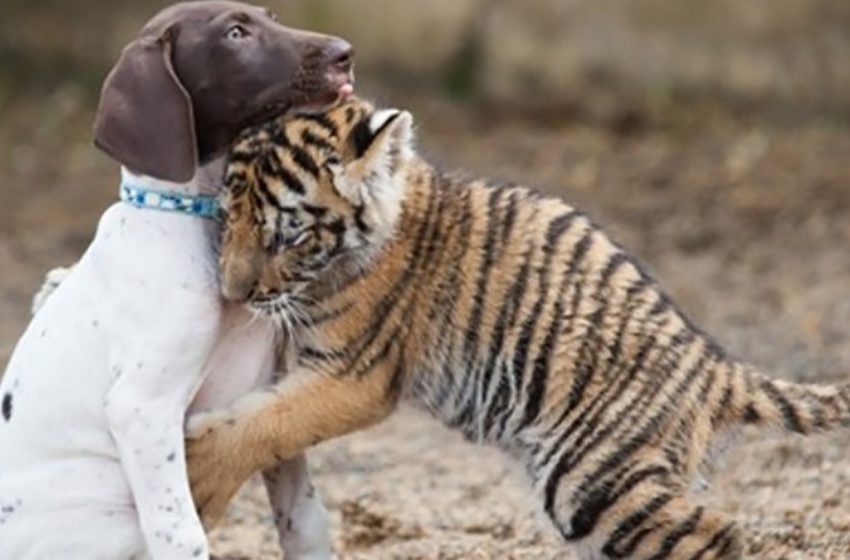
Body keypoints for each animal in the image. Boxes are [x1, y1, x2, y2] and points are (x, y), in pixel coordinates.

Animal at [0, 2, 352, 556]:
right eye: (235, 34)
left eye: (271, 16)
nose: (345, 53)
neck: (200, 219)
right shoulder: (142, 410)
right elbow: (181, 534)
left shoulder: (267, 393)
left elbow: (304, 518)